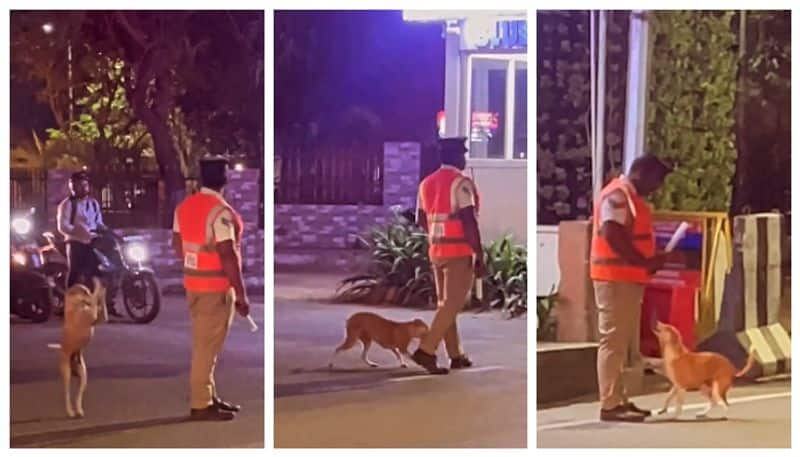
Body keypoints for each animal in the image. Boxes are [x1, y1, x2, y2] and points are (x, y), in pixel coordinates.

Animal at [49, 276, 108, 418]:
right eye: (83, 292)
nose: (88, 293)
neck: (75, 306)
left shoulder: (99, 318)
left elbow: (101, 309)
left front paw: (102, 291)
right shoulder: (91, 315)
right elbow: (94, 299)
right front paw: (98, 286)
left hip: (83, 376)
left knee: (78, 396)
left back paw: (79, 410)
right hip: (66, 374)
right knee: (67, 394)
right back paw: (70, 411)